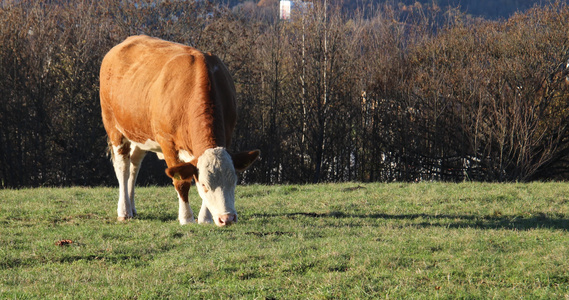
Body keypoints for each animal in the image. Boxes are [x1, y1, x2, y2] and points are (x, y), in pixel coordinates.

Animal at [100, 35, 260, 226]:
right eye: (205, 185)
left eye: (233, 181)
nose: (226, 218)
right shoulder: (167, 143)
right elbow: (181, 183)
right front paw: (186, 218)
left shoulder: (227, 136)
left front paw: (205, 218)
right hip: (114, 128)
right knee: (122, 168)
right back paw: (124, 211)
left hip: (138, 134)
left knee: (134, 166)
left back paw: (132, 208)